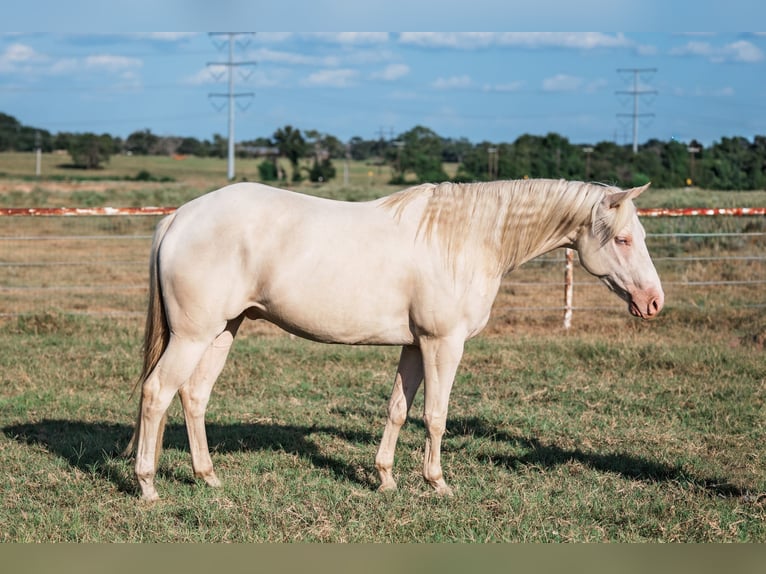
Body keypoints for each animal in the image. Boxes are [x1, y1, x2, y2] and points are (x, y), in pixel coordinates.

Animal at [124, 178, 664, 502]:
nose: (654, 302)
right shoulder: (443, 343)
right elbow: (436, 415)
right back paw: (148, 487)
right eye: (622, 239)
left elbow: (398, 410)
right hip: (193, 336)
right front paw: (438, 483)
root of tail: (178, 217)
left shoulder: (414, 344)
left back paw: (208, 477)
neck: (465, 240)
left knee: (193, 396)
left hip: (223, 330)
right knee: (157, 394)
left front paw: (384, 478)